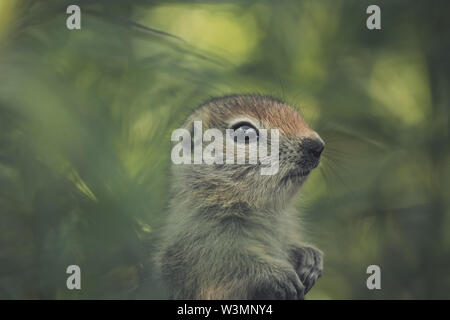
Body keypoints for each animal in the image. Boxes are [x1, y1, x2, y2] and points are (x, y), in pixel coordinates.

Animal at [156, 94, 326, 298]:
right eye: (245, 133)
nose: (317, 146)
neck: (263, 208)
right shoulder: (201, 246)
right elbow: (231, 266)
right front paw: (276, 274)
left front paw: (309, 256)